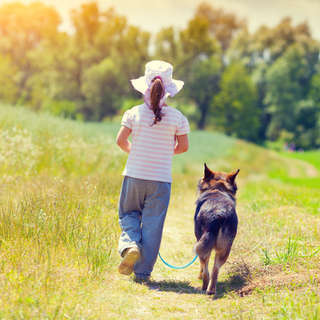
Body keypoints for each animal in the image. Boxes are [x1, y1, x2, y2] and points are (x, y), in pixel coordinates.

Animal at [194, 164, 239, 296]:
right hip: (225, 249)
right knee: (215, 270)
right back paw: (211, 290)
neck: (218, 188)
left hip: (203, 246)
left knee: (207, 270)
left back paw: (204, 287)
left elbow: (202, 267)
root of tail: (217, 214)